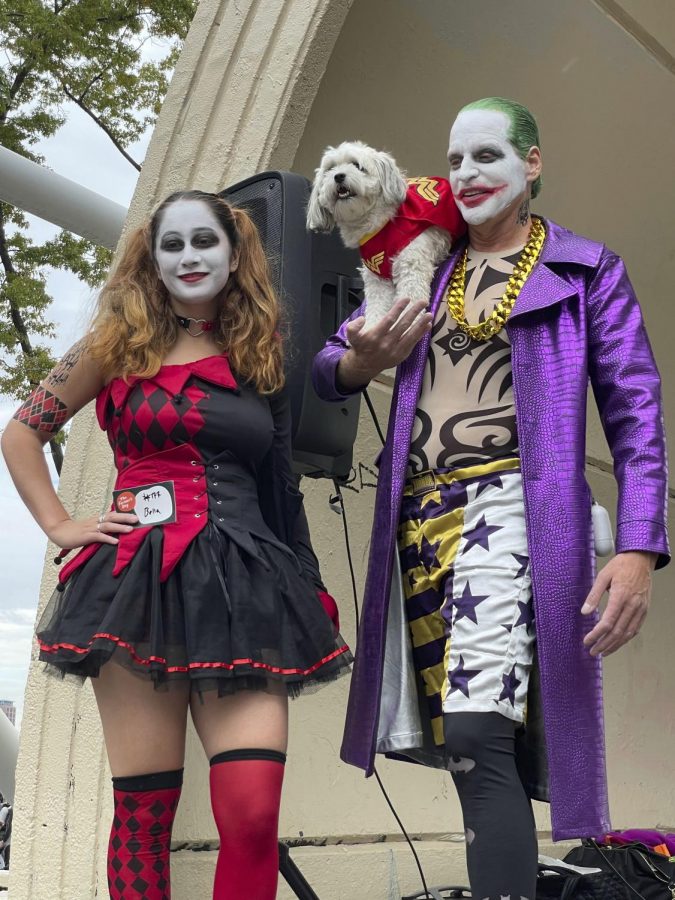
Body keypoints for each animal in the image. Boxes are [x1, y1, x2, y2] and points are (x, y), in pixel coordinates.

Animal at [308, 142, 462, 332]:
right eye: (330, 169)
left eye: (357, 165)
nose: (338, 176)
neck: (380, 225)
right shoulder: (377, 277)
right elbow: (376, 306)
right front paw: (371, 329)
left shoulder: (412, 262)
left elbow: (410, 298)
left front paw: (408, 325)